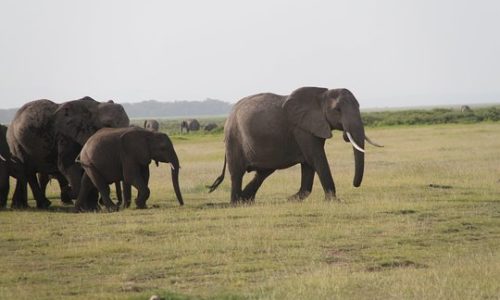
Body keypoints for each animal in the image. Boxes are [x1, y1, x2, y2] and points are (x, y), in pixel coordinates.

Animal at [207, 87, 382, 204]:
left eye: (359, 106)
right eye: (337, 110)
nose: (355, 184)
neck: (322, 95)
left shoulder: (313, 127)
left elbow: (309, 163)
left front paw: (292, 199)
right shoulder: (302, 129)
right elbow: (316, 158)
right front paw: (333, 201)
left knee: (263, 172)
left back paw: (246, 200)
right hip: (233, 138)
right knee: (237, 173)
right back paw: (236, 202)